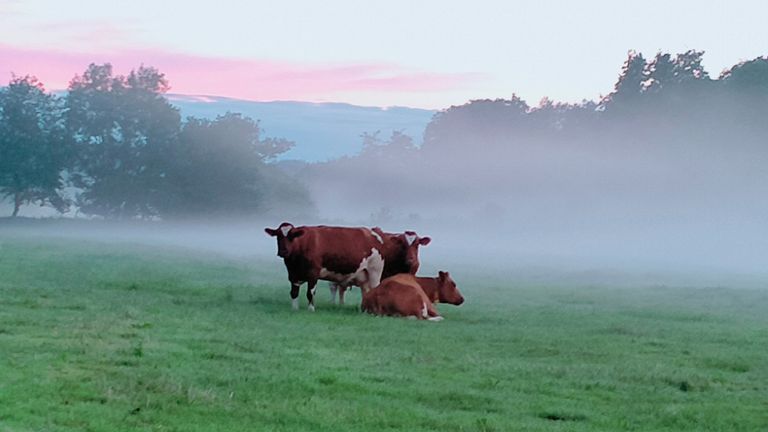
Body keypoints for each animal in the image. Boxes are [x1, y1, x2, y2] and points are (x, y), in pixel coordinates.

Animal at [264, 223, 428, 310]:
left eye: (292, 236)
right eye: (278, 236)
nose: (283, 251)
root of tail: (375, 233)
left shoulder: (313, 273)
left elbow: (310, 293)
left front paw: (311, 309)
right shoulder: (293, 274)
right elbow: (294, 293)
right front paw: (295, 308)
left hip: (374, 273)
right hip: (364, 277)